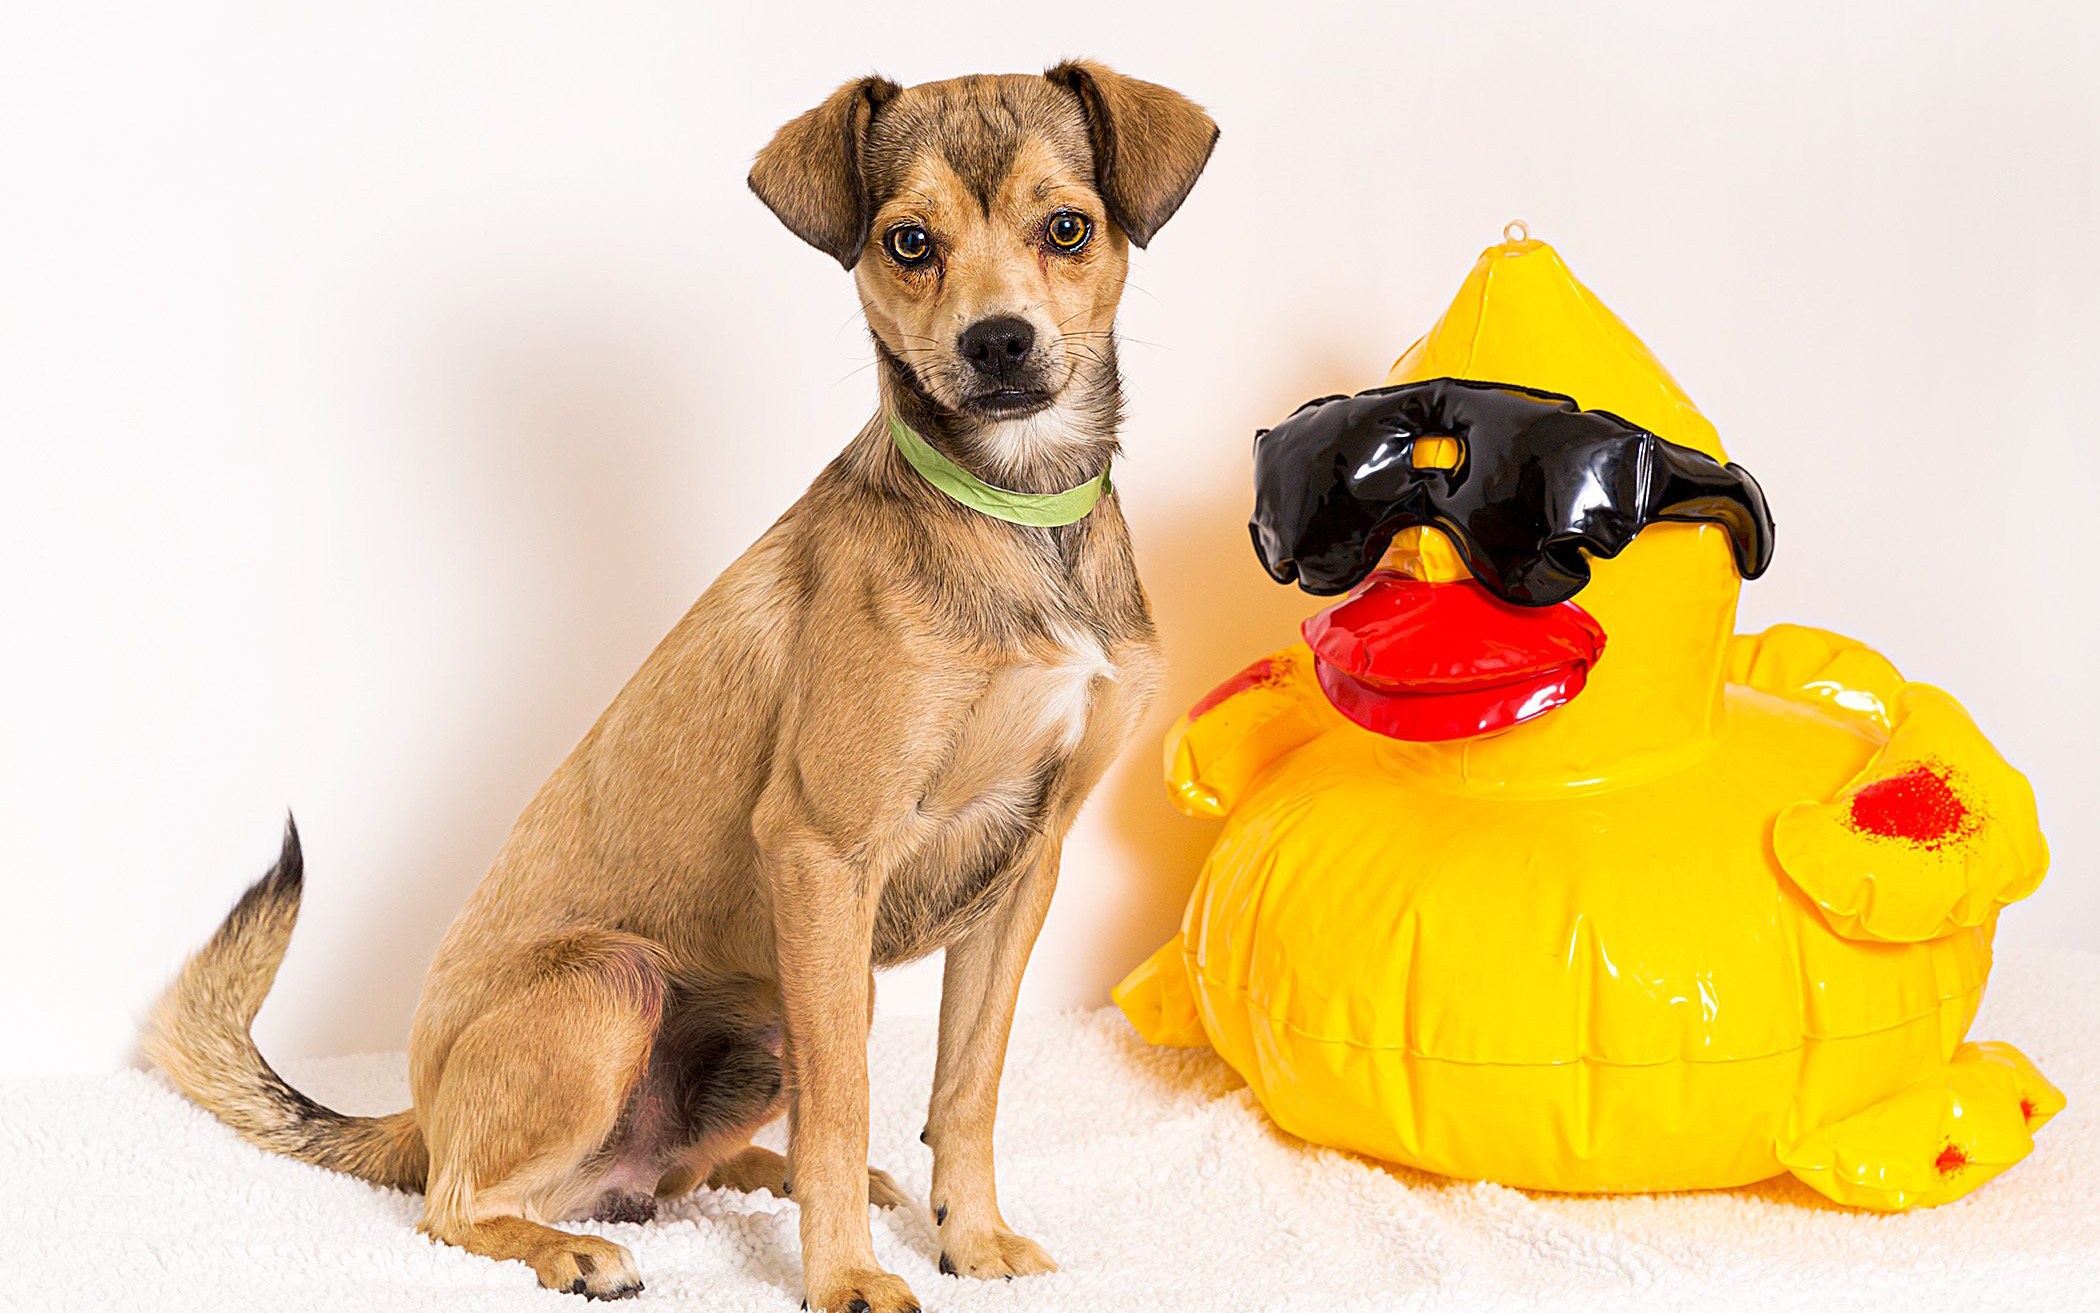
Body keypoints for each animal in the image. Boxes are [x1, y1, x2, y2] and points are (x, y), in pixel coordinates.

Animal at [148, 58, 1218, 1302]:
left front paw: (972, 1233)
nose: (999, 342)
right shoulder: (821, 848)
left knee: (673, 1171)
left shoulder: (1024, 868)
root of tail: (418, 1108)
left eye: (1068, 228)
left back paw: (755, 1174)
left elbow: (968, 1081)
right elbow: (849, 1102)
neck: (1012, 513)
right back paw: (573, 1245)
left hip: (767, 1019)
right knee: (453, 1205)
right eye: (908, 242)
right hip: (619, 981)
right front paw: (846, 1276)